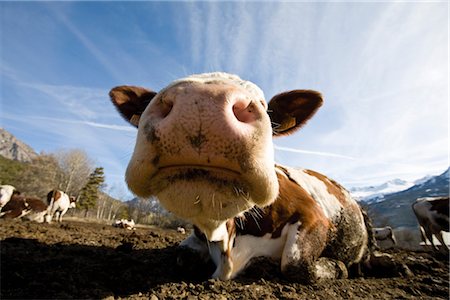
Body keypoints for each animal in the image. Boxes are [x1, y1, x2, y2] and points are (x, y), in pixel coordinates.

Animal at [110, 72, 374, 284]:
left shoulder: (313, 214)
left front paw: (338, 268)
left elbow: (294, 263)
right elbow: (182, 257)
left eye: (265, 106)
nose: (201, 104)